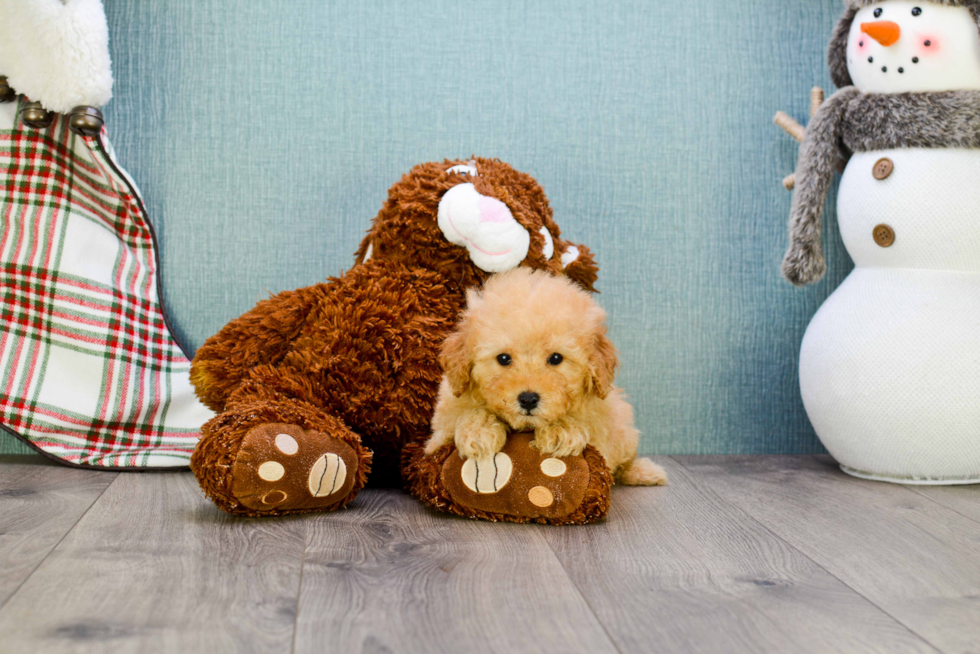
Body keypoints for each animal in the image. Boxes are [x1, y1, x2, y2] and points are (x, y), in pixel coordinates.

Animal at [426, 268, 668, 486]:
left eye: (556, 358)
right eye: (503, 358)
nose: (528, 399)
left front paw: (560, 430)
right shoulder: (440, 430)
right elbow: (468, 413)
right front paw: (478, 429)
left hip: (623, 427)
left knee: (624, 460)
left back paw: (644, 472)